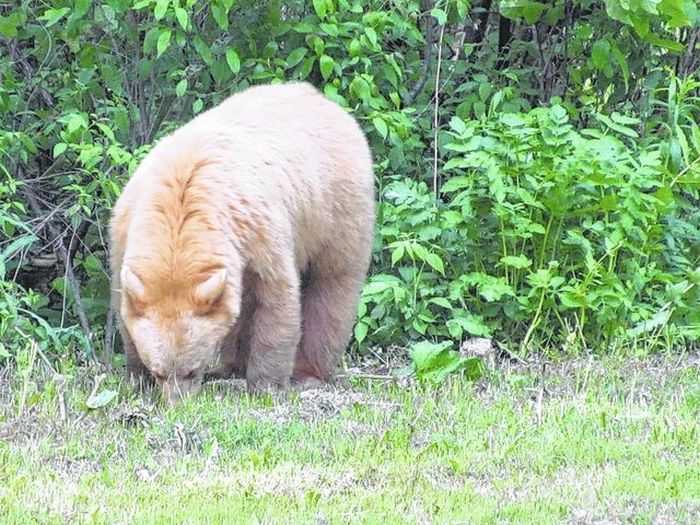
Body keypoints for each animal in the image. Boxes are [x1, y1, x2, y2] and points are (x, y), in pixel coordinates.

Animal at [108, 82, 374, 404]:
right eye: (160, 372)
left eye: (191, 370)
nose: (177, 404)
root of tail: (323, 99)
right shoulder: (125, 229)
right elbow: (125, 307)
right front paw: (137, 377)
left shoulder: (255, 226)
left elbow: (276, 295)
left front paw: (266, 385)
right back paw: (229, 367)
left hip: (336, 208)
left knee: (332, 284)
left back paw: (308, 373)